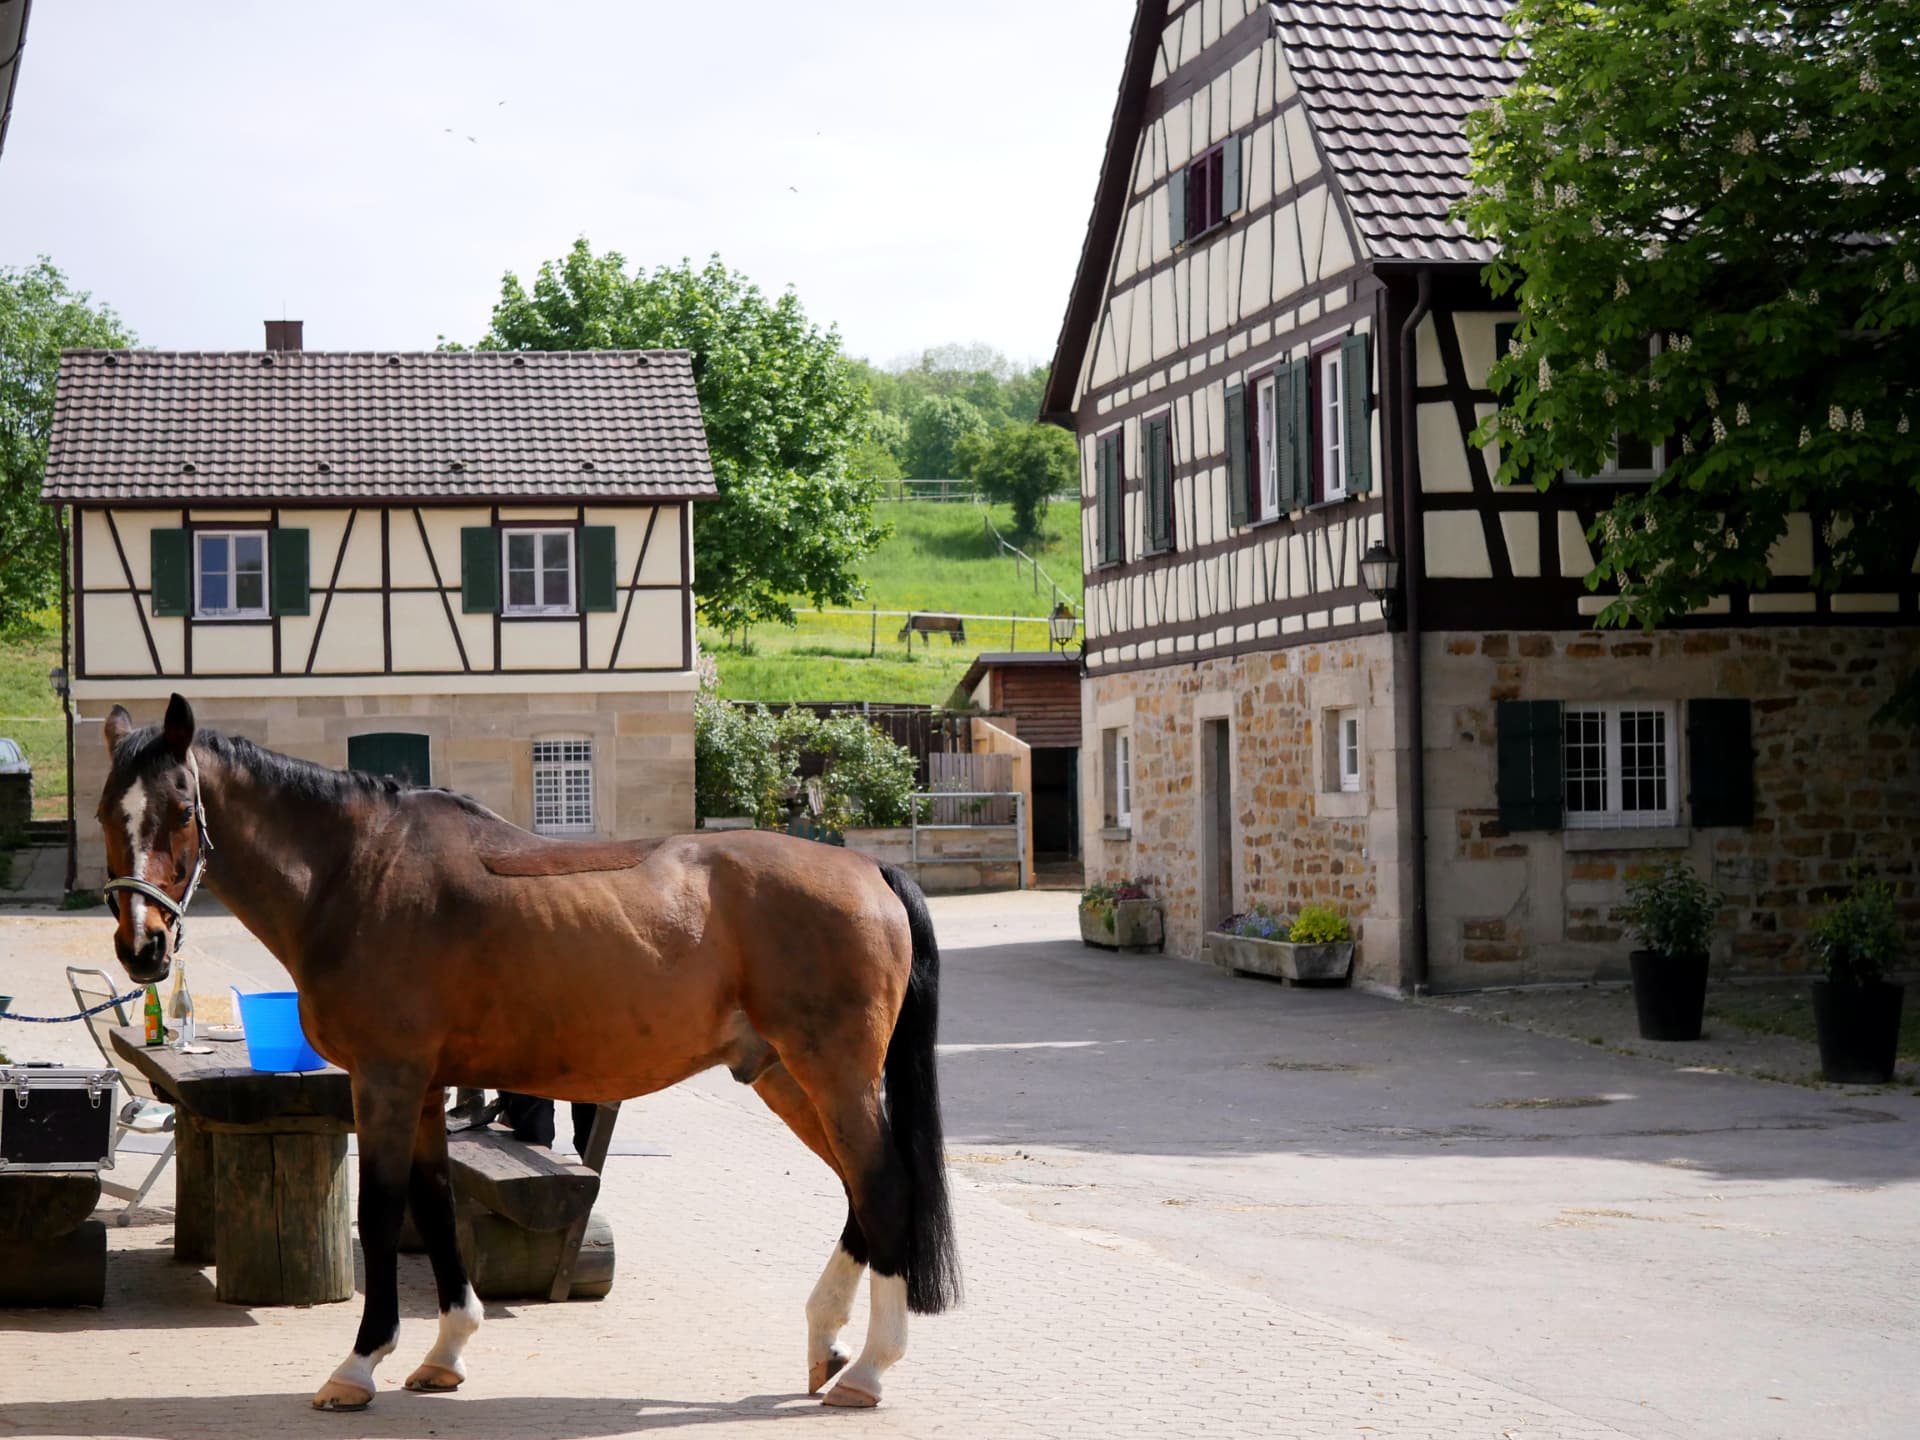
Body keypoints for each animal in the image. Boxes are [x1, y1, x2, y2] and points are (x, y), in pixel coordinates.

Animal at [93, 693, 959, 1411]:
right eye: (106, 811)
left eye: (180, 811)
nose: (143, 948)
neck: (358, 874)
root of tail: (870, 867)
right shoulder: (423, 1090)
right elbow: (434, 1203)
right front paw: (445, 1352)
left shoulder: (384, 1080)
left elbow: (381, 1213)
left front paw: (359, 1365)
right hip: (784, 1075)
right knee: (857, 1188)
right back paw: (826, 1346)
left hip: (833, 1074)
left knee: (883, 1186)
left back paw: (870, 1368)